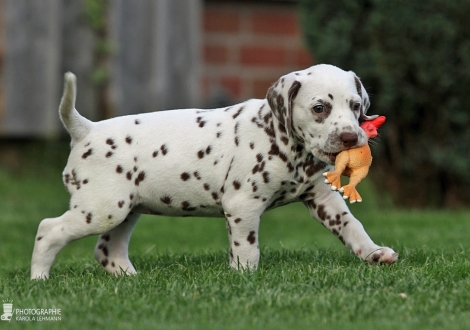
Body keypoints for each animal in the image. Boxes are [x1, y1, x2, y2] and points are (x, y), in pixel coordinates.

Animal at [30, 63, 396, 278]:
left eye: (355, 106)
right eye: (320, 108)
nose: (351, 137)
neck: (279, 136)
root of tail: (86, 129)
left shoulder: (322, 198)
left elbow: (352, 227)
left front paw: (373, 253)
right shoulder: (243, 205)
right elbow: (247, 247)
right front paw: (244, 277)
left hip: (125, 211)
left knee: (107, 250)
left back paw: (130, 279)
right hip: (101, 210)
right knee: (49, 229)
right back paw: (40, 278)